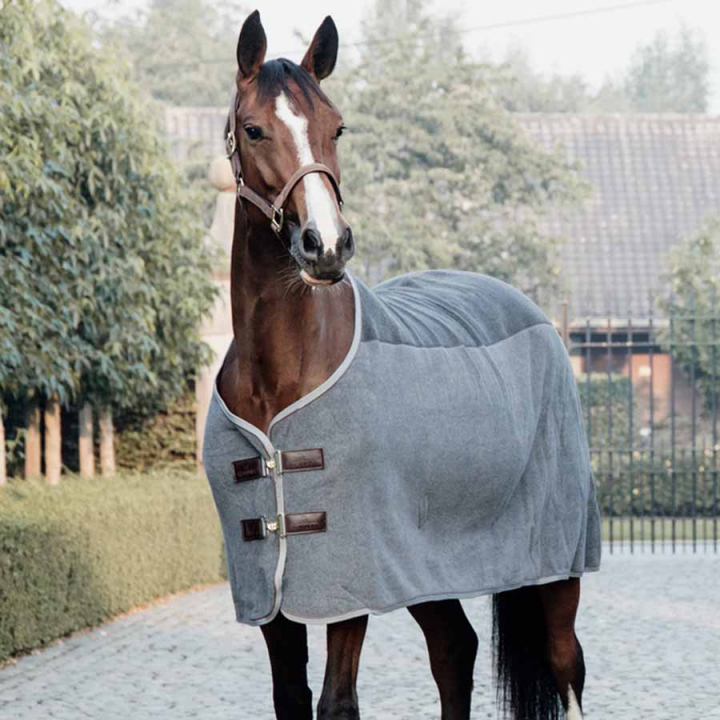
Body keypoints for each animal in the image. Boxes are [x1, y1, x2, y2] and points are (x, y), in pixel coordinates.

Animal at [203, 10, 601, 720]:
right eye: (252, 129)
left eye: (336, 127)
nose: (326, 245)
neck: (282, 376)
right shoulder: (273, 588)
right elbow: (290, 697)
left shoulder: (348, 578)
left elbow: (337, 702)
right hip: (425, 570)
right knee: (455, 652)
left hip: (556, 561)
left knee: (564, 663)